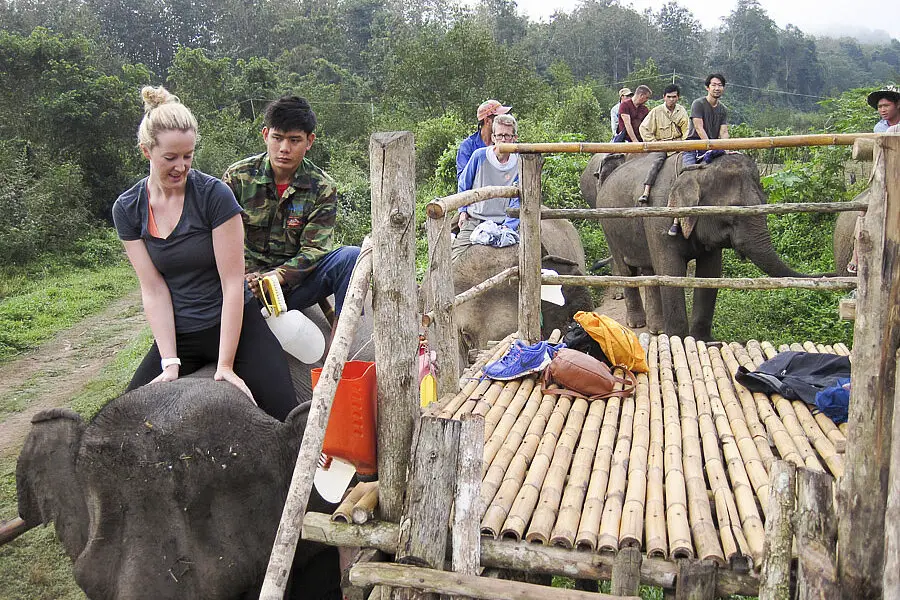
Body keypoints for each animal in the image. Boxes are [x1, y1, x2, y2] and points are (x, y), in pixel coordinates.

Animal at [580, 151, 804, 338]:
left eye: (765, 201)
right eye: (732, 212)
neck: (696, 170)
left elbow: (709, 274)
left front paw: (701, 340)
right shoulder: (660, 217)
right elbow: (670, 273)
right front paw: (679, 340)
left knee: (650, 271)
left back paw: (656, 329)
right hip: (608, 224)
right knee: (627, 269)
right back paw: (637, 324)